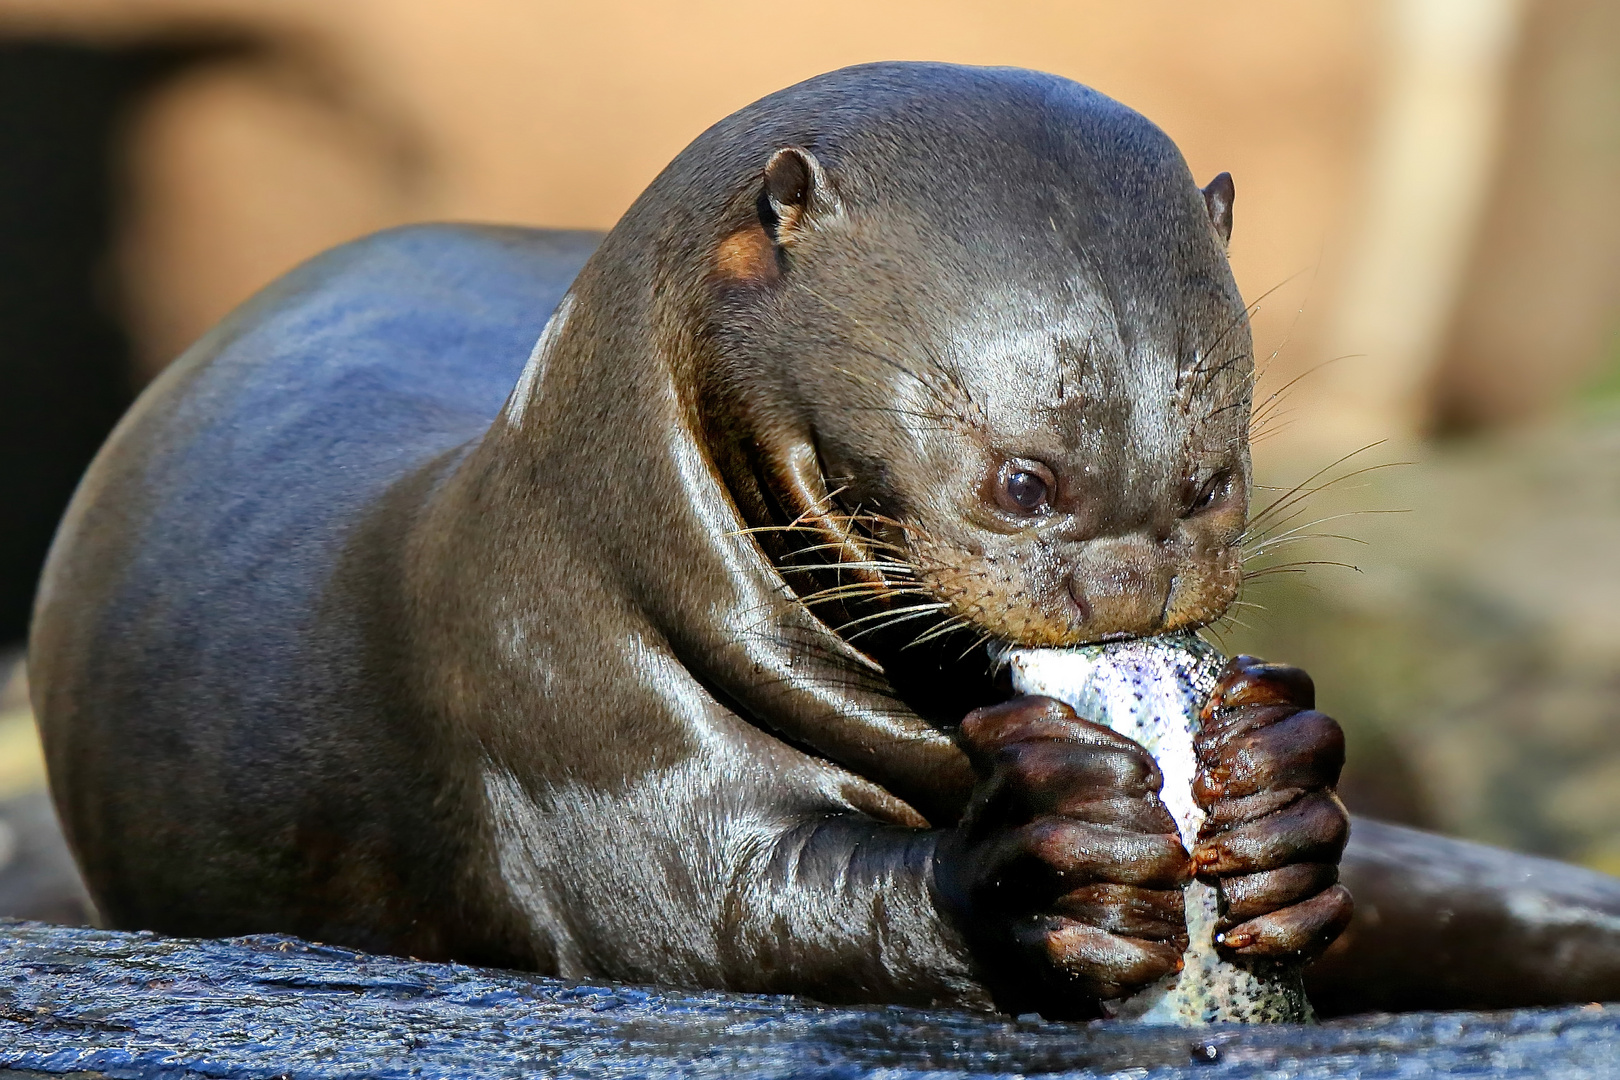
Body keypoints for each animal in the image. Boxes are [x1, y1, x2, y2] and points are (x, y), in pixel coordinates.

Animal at [28, 63, 1620, 1016]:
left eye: (1212, 481)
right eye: (1022, 481)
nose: (1126, 588)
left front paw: (1284, 789)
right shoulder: (568, 735)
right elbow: (710, 914)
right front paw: (1041, 860)